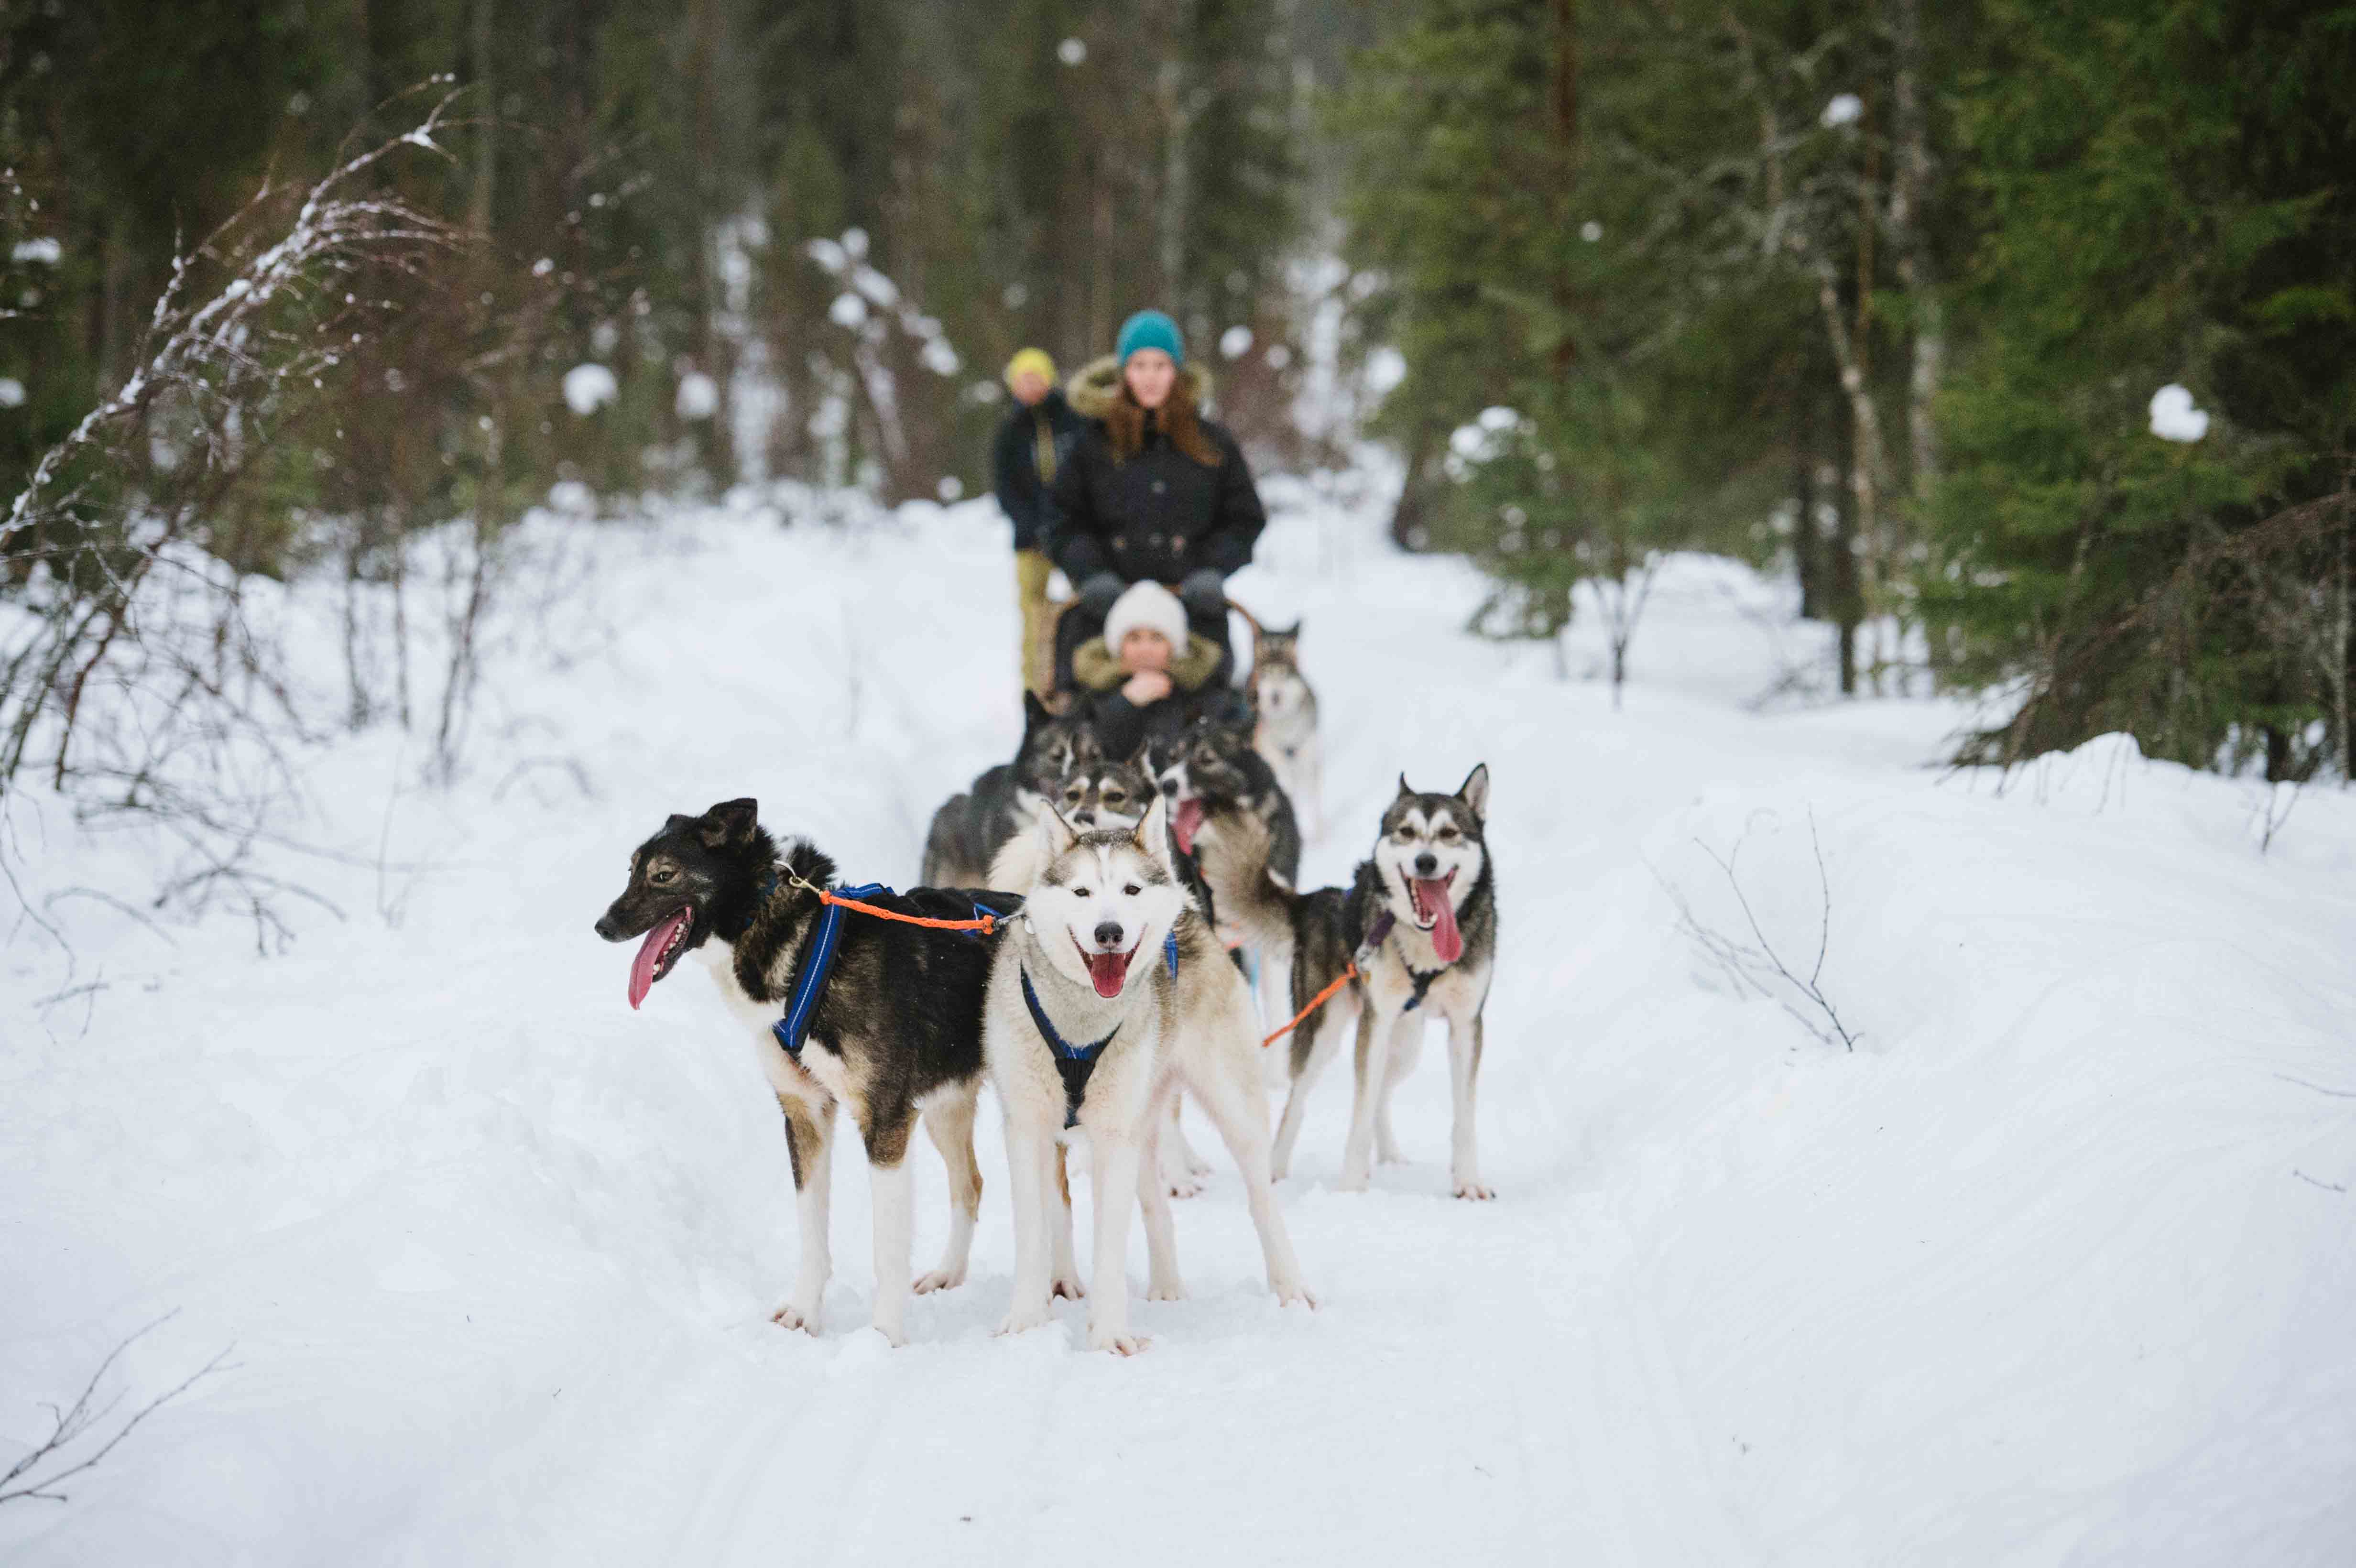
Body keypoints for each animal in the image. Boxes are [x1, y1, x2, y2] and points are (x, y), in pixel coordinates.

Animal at [593, 800, 1008, 1337]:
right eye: (631, 871)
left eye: (663, 875)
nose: (603, 925)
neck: (806, 952)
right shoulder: (804, 1113)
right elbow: (811, 1232)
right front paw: (804, 1311)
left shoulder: (886, 1122)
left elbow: (887, 1249)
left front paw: (882, 1338)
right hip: (946, 1105)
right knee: (970, 1185)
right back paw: (949, 1274)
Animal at [975, 795, 1309, 1347]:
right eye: (1082, 892)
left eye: (1131, 890)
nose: (1108, 932)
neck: (1079, 1027)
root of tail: (1190, 914)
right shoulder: (1028, 1130)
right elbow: (1033, 1236)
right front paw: (1026, 1323)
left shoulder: (1113, 1136)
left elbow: (1109, 1248)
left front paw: (1109, 1337)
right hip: (1142, 1121)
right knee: (1157, 1206)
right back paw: (1168, 1285)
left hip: (1230, 1108)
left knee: (1262, 1200)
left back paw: (1291, 1287)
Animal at [1197, 767, 1507, 1196]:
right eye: (1407, 832)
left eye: (1449, 833)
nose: (1425, 861)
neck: (1425, 946)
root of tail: (1315, 900)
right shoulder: (1375, 1023)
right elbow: (1359, 1111)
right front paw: (1351, 1188)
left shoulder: (1465, 1025)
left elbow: (1463, 1115)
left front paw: (1469, 1182)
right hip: (1324, 1033)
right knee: (1299, 1101)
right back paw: (1274, 1168)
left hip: (1405, 1044)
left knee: (1381, 1093)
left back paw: (1390, 1156)